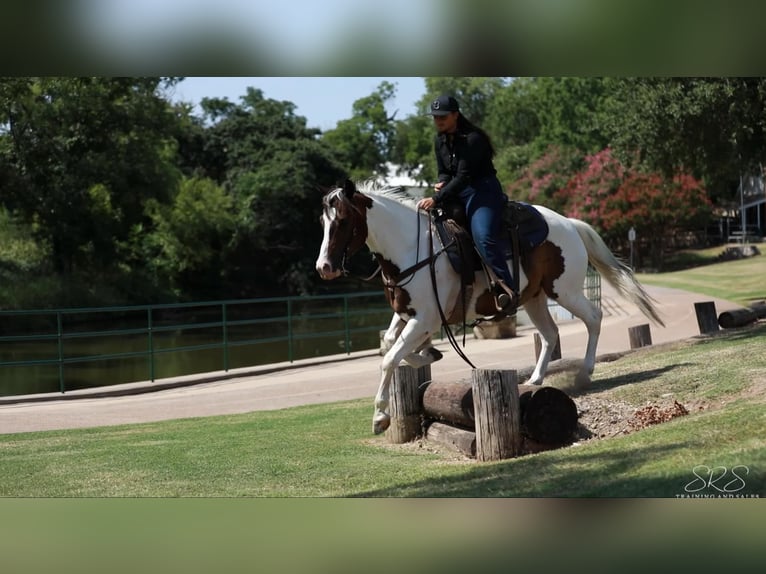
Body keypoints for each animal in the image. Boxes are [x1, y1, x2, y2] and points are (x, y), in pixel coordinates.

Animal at [315, 179, 664, 434]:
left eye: (342, 220)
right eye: (322, 221)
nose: (324, 268)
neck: (412, 248)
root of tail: (568, 222)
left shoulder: (425, 318)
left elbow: (389, 359)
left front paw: (380, 416)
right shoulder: (408, 314)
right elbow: (390, 344)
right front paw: (428, 353)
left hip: (564, 290)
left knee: (593, 317)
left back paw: (585, 373)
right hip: (534, 298)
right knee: (550, 334)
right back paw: (535, 379)